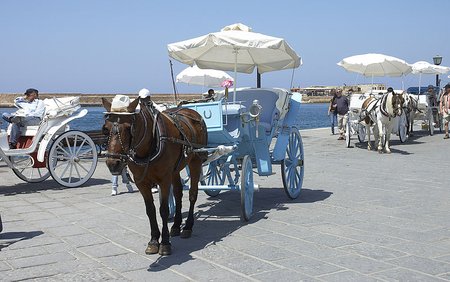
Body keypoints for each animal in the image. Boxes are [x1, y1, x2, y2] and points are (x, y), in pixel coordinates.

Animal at [101, 97, 207, 256]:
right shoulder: (142, 182)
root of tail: (191, 111)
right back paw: (176, 226)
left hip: (195, 161)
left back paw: (187, 226)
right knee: (178, 193)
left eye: (129, 128)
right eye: (106, 128)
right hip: (175, 170)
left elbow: (163, 210)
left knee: (192, 194)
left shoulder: (164, 180)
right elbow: (150, 210)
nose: (113, 163)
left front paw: (165, 243)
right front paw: (153, 240)